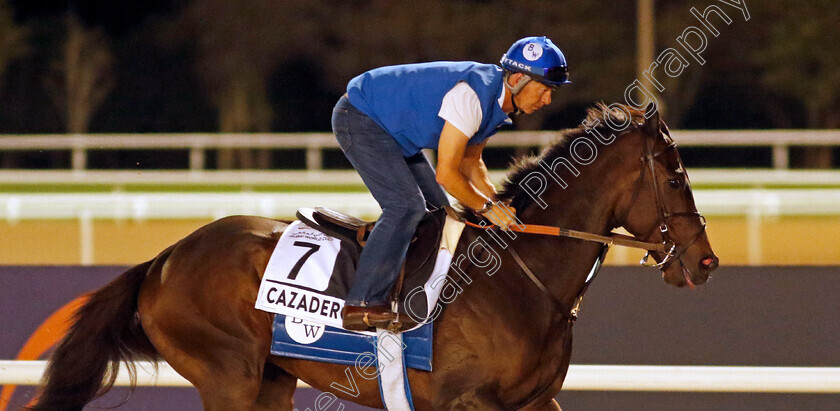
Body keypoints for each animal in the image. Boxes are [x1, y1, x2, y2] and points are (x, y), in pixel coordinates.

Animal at [31, 104, 716, 411]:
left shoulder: (533, 402)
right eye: (676, 176)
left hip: (271, 382)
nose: (706, 262)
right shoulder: (469, 402)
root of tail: (165, 257)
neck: (525, 278)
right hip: (228, 378)